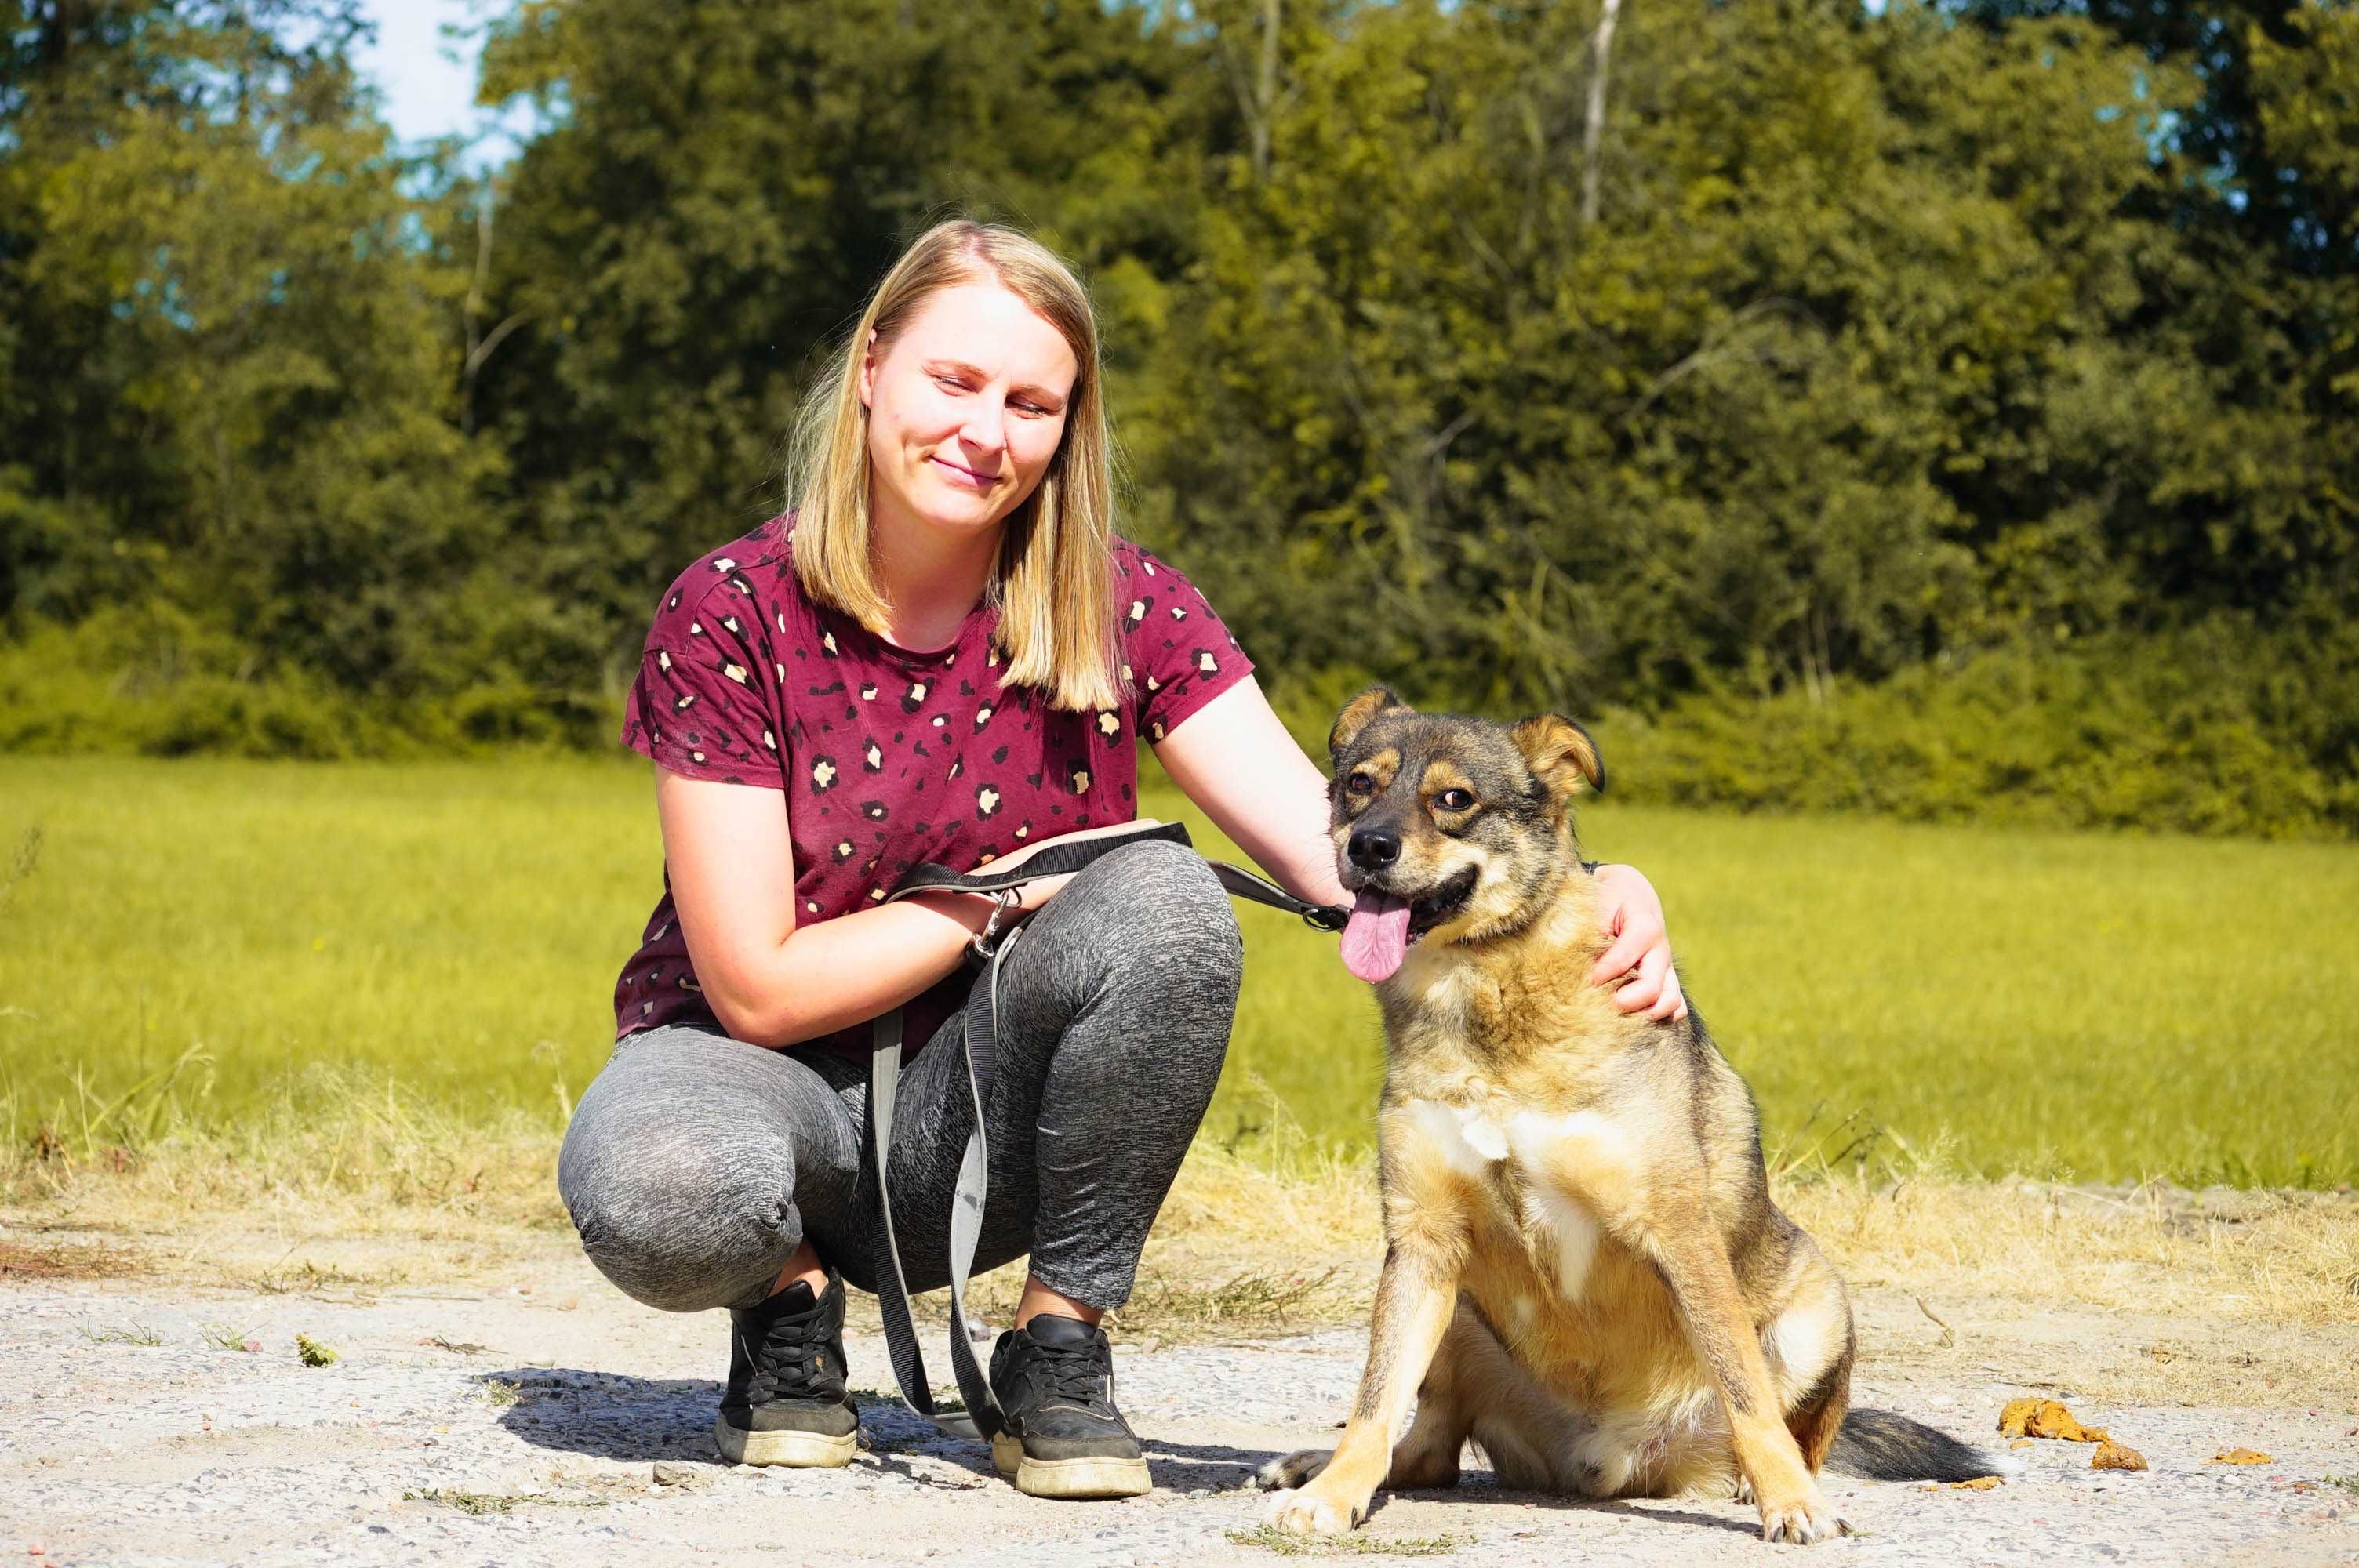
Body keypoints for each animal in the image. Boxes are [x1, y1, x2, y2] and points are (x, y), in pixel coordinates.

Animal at [1255, 688, 2009, 1537]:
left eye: (1454, 799)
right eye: (1359, 783)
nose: (1369, 846)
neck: (1489, 992)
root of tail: (1603, 1462)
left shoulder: (1676, 1232)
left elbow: (1747, 1392)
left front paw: (1791, 1503)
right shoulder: (1421, 1239)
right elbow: (1374, 1400)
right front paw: (1332, 1492)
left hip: (1819, 1303)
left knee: (1794, 1428)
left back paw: (1762, 1485)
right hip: (1457, 1312)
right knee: (1427, 1451)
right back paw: (1313, 1465)